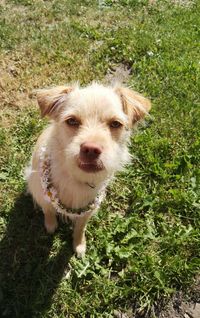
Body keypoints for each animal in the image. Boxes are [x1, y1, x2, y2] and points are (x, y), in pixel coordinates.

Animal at [25, 82, 152, 256]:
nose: (91, 149)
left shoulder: (89, 209)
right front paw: (50, 224)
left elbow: (81, 227)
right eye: (72, 121)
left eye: (116, 124)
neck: (76, 179)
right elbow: (48, 210)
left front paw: (79, 244)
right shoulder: (41, 193)